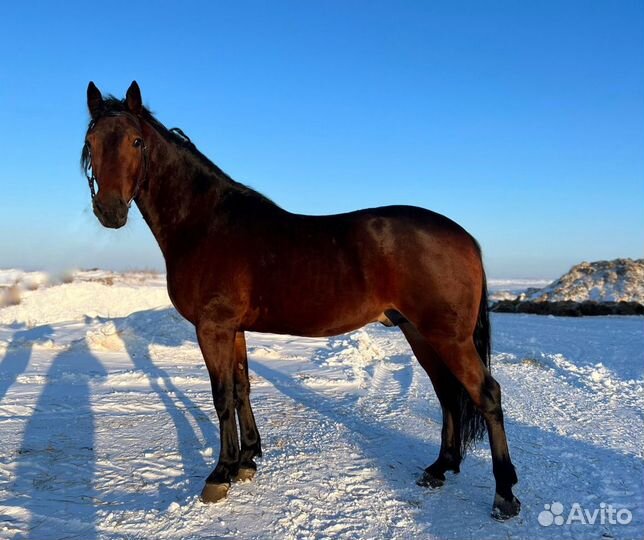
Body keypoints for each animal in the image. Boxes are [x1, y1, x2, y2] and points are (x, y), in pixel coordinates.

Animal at [80, 80, 520, 520]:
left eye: (137, 141)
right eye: (91, 142)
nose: (109, 210)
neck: (205, 224)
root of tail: (465, 238)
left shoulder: (213, 328)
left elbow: (221, 395)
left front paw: (220, 473)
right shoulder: (234, 329)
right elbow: (242, 387)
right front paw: (247, 460)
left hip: (448, 337)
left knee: (486, 394)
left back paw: (505, 494)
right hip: (419, 332)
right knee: (447, 393)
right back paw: (439, 468)